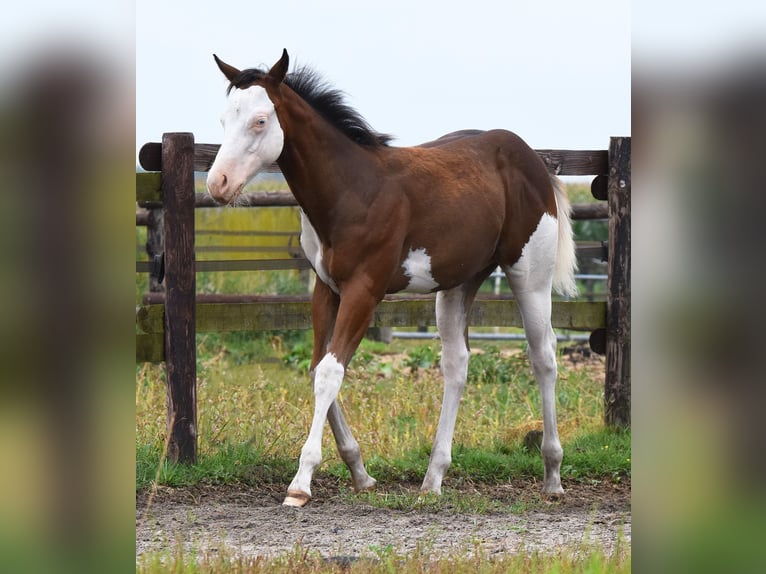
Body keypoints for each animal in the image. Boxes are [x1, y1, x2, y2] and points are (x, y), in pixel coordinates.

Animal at [207, 50, 578, 507]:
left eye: (260, 120)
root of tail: (533, 158)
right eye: (224, 118)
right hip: (458, 284)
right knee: (457, 364)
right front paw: (360, 473)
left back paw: (552, 474)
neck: (351, 192)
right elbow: (316, 369)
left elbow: (330, 373)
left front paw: (301, 483)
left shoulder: (364, 291)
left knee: (544, 357)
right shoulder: (326, 290)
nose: (217, 184)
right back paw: (433, 478)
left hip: (530, 276)